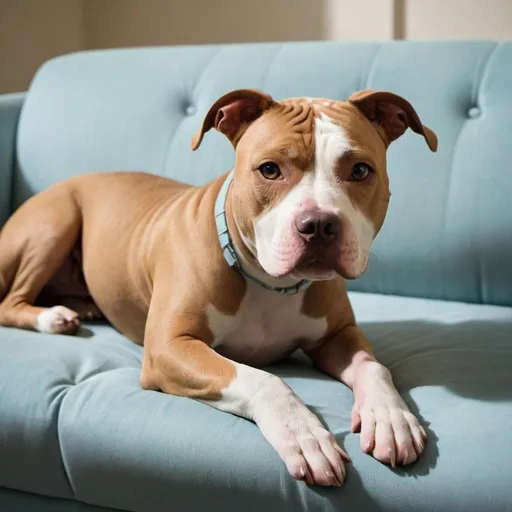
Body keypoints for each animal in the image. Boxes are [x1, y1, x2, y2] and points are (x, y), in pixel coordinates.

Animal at [0, 89, 436, 488]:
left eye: (360, 170)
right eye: (269, 169)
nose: (318, 224)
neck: (270, 283)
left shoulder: (337, 335)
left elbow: (374, 367)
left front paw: (392, 417)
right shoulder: (169, 347)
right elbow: (263, 379)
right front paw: (304, 435)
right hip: (54, 222)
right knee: (11, 301)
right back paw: (54, 318)